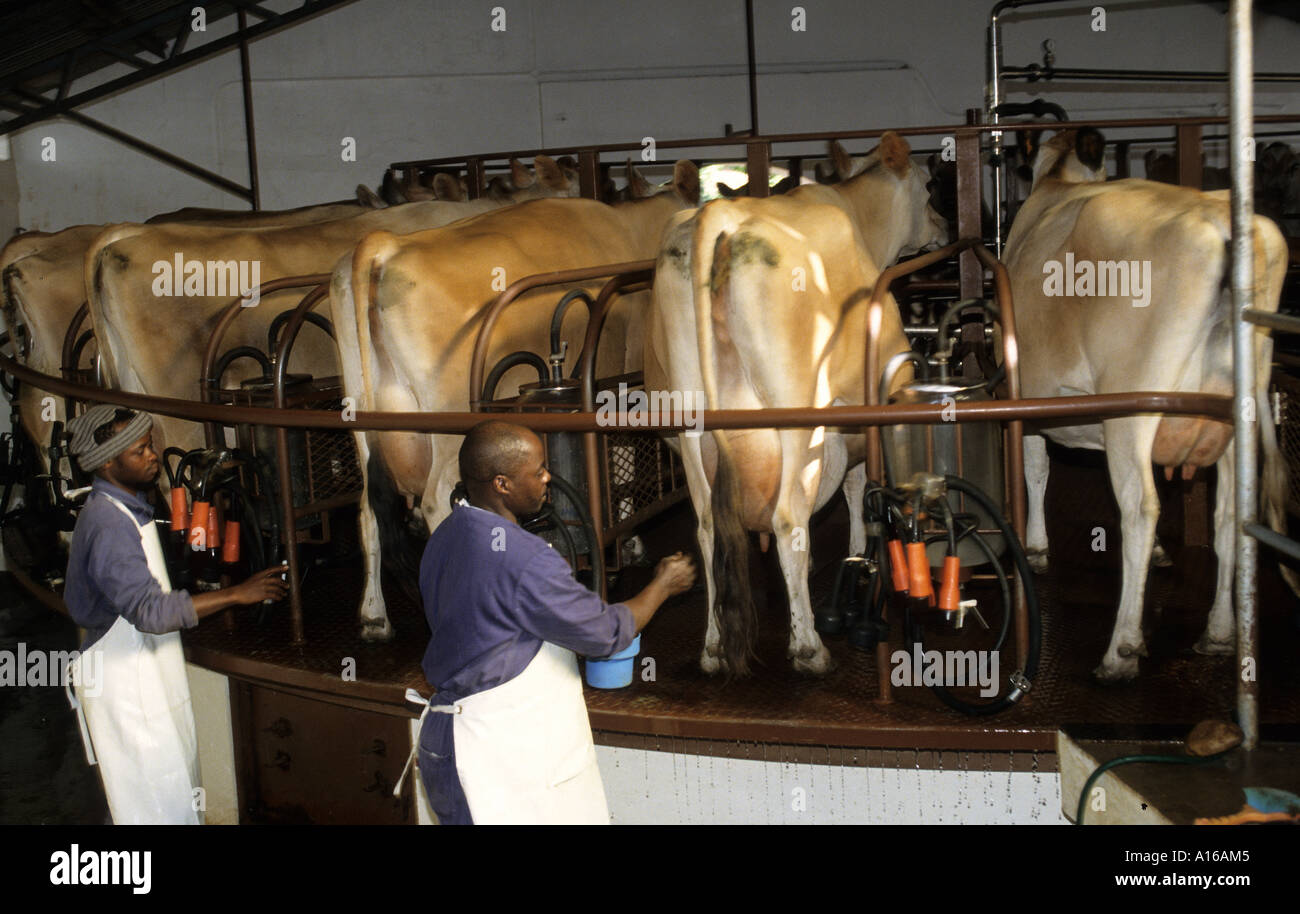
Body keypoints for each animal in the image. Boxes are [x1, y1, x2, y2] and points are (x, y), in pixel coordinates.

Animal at [332, 161, 702, 639]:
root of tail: (383, 246)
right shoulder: (620, 374)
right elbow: (618, 455)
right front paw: (631, 541)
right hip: (446, 425)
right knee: (434, 500)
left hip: (361, 417)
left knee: (367, 508)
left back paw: (375, 616)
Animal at [647, 130, 946, 670]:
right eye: (930, 186)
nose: (943, 225)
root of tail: (718, 215)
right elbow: (861, 484)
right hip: (797, 415)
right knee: (788, 519)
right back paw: (808, 647)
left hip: (691, 424)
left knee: (706, 525)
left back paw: (713, 647)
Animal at [1003, 132, 1289, 681]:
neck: (1058, 179)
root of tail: (1217, 218)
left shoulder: (1030, 397)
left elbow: (1035, 468)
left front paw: (1036, 547)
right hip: (1226, 413)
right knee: (1229, 512)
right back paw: (1220, 633)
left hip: (1130, 408)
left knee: (1139, 507)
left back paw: (1120, 651)